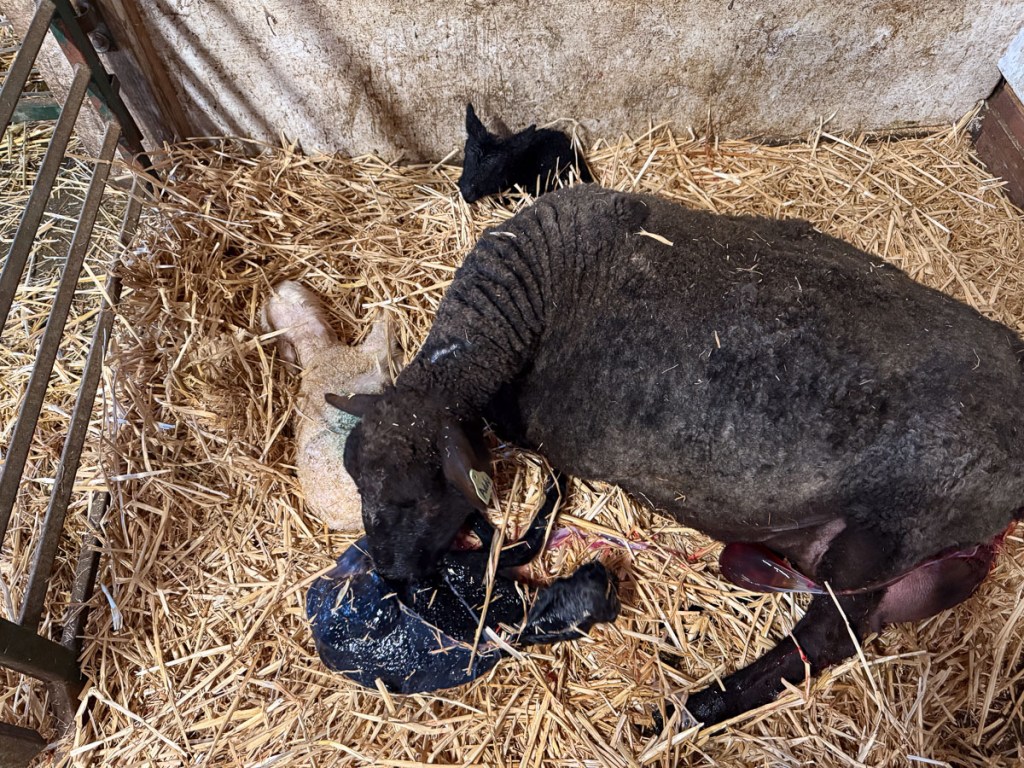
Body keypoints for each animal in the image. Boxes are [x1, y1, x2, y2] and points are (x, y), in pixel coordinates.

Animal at [332, 184, 1024, 724]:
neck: (541, 290)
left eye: (424, 496)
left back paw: (691, 709)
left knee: (823, 638)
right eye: (356, 478)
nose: (390, 576)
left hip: (881, 540)